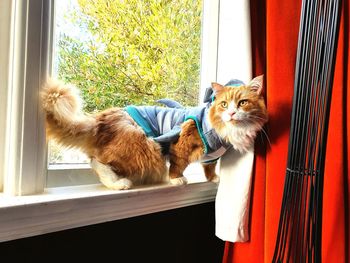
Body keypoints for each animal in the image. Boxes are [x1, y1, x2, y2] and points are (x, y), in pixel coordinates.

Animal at [39, 75, 266, 191]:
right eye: (224, 104)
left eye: (243, 102)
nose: (232, 113)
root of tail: (102, 119)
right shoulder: (182, 144)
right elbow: (178, 165)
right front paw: (177, 180)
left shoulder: (211, 157)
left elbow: (209, 168)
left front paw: (213, 179)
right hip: (144, 147)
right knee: (97, 161)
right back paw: (118, 183)